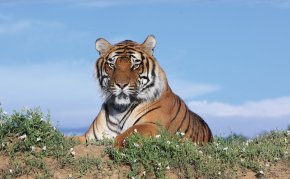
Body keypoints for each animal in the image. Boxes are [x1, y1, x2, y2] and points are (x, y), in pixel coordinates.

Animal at [77, 34, 213, 147]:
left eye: (135, 66)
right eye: (112, 65)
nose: (121, 84)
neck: (120, 108)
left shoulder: (153, 125)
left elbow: (130, 132)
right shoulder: (90, 136)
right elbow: (73, 139)